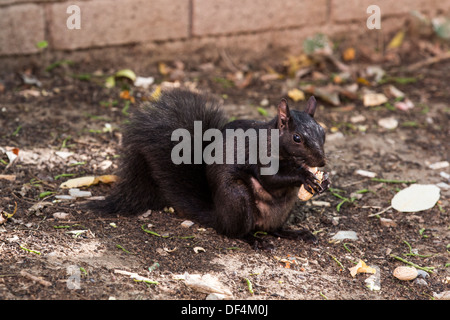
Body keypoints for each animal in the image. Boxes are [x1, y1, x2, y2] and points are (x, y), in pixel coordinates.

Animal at [89, 89, 330, 245]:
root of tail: (219, 217)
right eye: (297, 138)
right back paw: (254, 240)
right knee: (236, 232)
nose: (321, 161)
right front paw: (305, 177)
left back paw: (294, 233)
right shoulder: (259, 157)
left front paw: (324, 180)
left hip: (283, 209)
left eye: (323, 131)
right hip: (237, 197)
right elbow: (270, 179)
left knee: (274, 230)